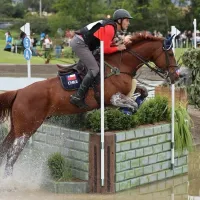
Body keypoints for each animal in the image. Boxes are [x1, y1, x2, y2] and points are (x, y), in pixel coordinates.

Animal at [0, 31, 179, 177]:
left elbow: (144, 92)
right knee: (11, 157)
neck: (121, 65)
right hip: (26, 130)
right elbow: (132, 104)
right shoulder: (112, 98)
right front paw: (126, 112)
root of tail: (19, 92)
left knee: (4, 149)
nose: (176, 77)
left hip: (17, 128)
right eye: (170, 53)